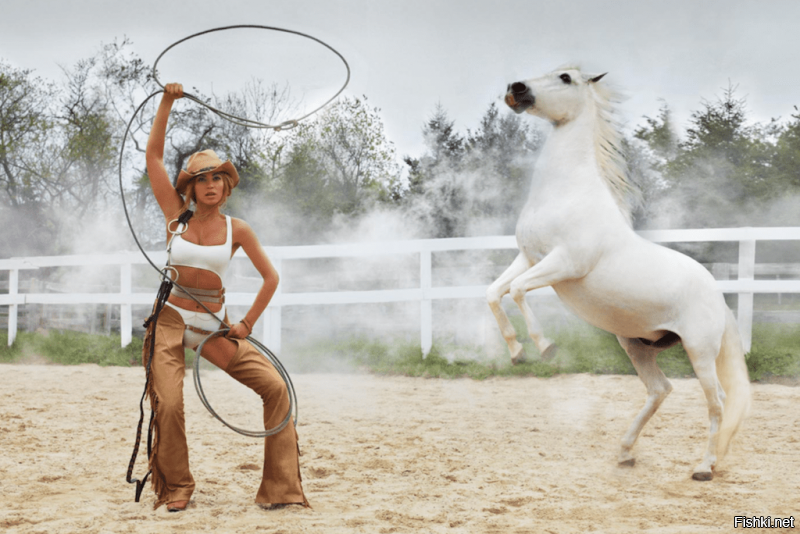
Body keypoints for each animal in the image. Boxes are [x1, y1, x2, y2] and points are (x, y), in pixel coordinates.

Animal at [484, 66, 752, 482]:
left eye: (565, 77)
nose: (516, 89)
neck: (567, 194)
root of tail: (717, 295)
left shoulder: (564, 264)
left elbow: (517, 291)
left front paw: (545, 348)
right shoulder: (529, 257)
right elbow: (495, 293)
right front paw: (516, 353)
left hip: (699, 350)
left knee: (717, 401)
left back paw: (704, 467)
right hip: (636, 344)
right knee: (660, 390)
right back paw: (625, 453)